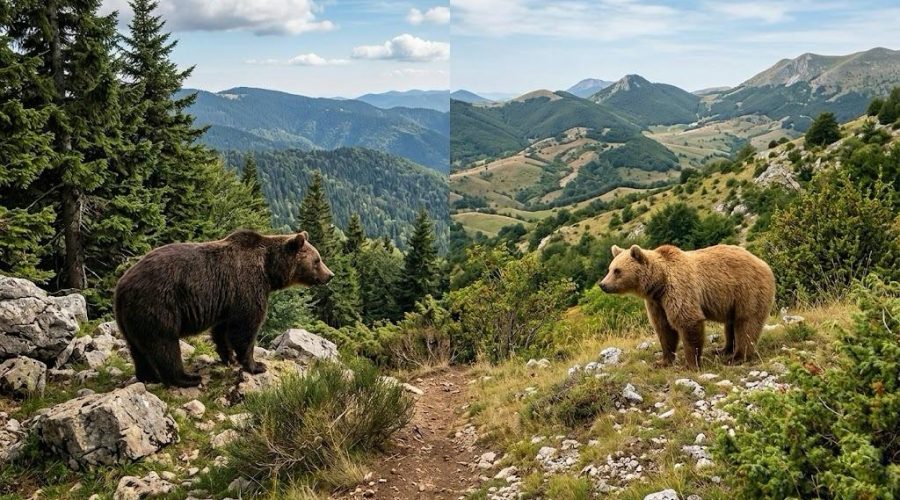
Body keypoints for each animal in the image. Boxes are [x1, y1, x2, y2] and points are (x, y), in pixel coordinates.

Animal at [114, 230, 333, 387]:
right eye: (317, 260)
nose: (330, 275)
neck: (269, 270)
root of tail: (121, 286)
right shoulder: (247, 286)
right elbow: (245, 328)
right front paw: (256, 365)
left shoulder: (226, 301)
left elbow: (222, 330)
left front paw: (228, 358)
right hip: (158, 304)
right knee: (164, 344)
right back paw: (187, 378)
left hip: (130, 317)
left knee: (137, 348)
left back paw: (148, 376)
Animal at [599, 244, 774, 369]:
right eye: (609, 268)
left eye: (617, 270)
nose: (603, 284)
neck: (659, 283)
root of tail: (763, 263)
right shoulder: (657, 303)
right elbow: (664, 329)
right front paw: (663, 361)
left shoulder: (679, 289)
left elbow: (687, 322)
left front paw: (690, 364)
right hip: (732, 301)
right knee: (731, 324)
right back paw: (723, 350)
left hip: (748, 290)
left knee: (746, 323)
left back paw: (737, 357)